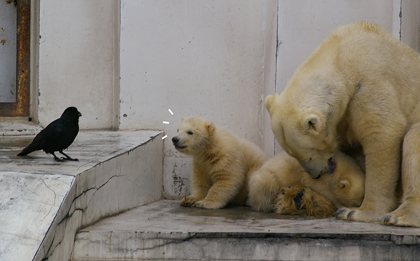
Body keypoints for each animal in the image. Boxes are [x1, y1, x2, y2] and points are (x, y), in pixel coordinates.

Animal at [264, 21, 420, 226]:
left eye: (309, 153)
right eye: (292, 154)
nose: (315, 174)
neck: (342, 54)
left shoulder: (369, 83)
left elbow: (382, 134)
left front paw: (358, 212)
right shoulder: (343, 117)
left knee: (413, 144)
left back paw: (400, 215)